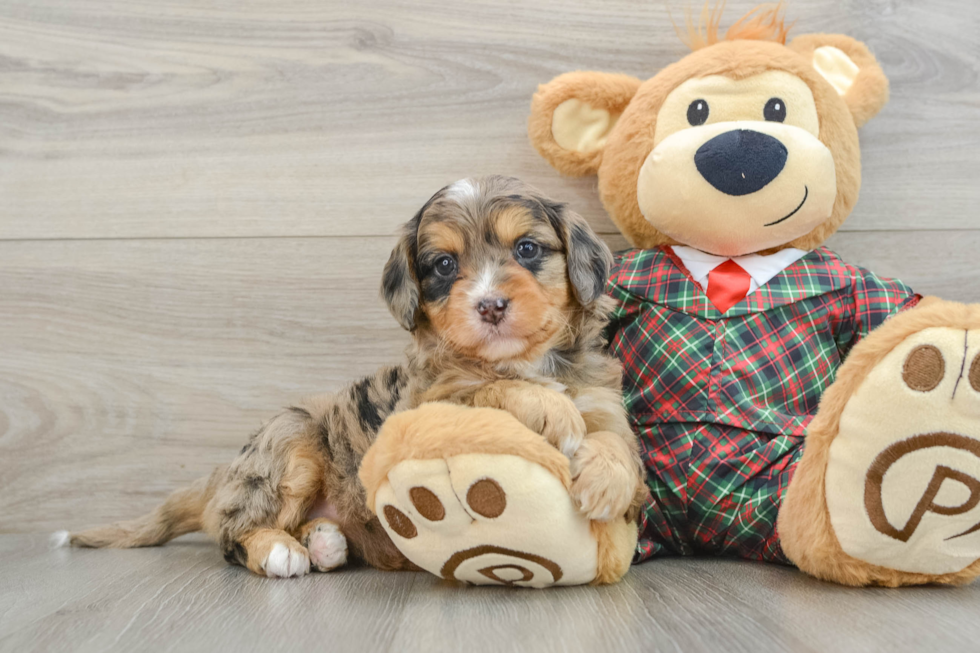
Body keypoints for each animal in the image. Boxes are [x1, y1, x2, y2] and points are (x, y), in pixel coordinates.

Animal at [69, 177, 652, 576]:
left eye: (527, 249)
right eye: (443, 265)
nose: (489, 306)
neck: (524, 360)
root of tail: (226, 474)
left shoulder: (602, 401)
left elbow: (617, 443)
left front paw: (608, 481)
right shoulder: (424, 406)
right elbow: (488, 388)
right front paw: (549, 407)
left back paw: (324, 542)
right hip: (290, 441)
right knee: (235, 533)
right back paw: (280, 551)